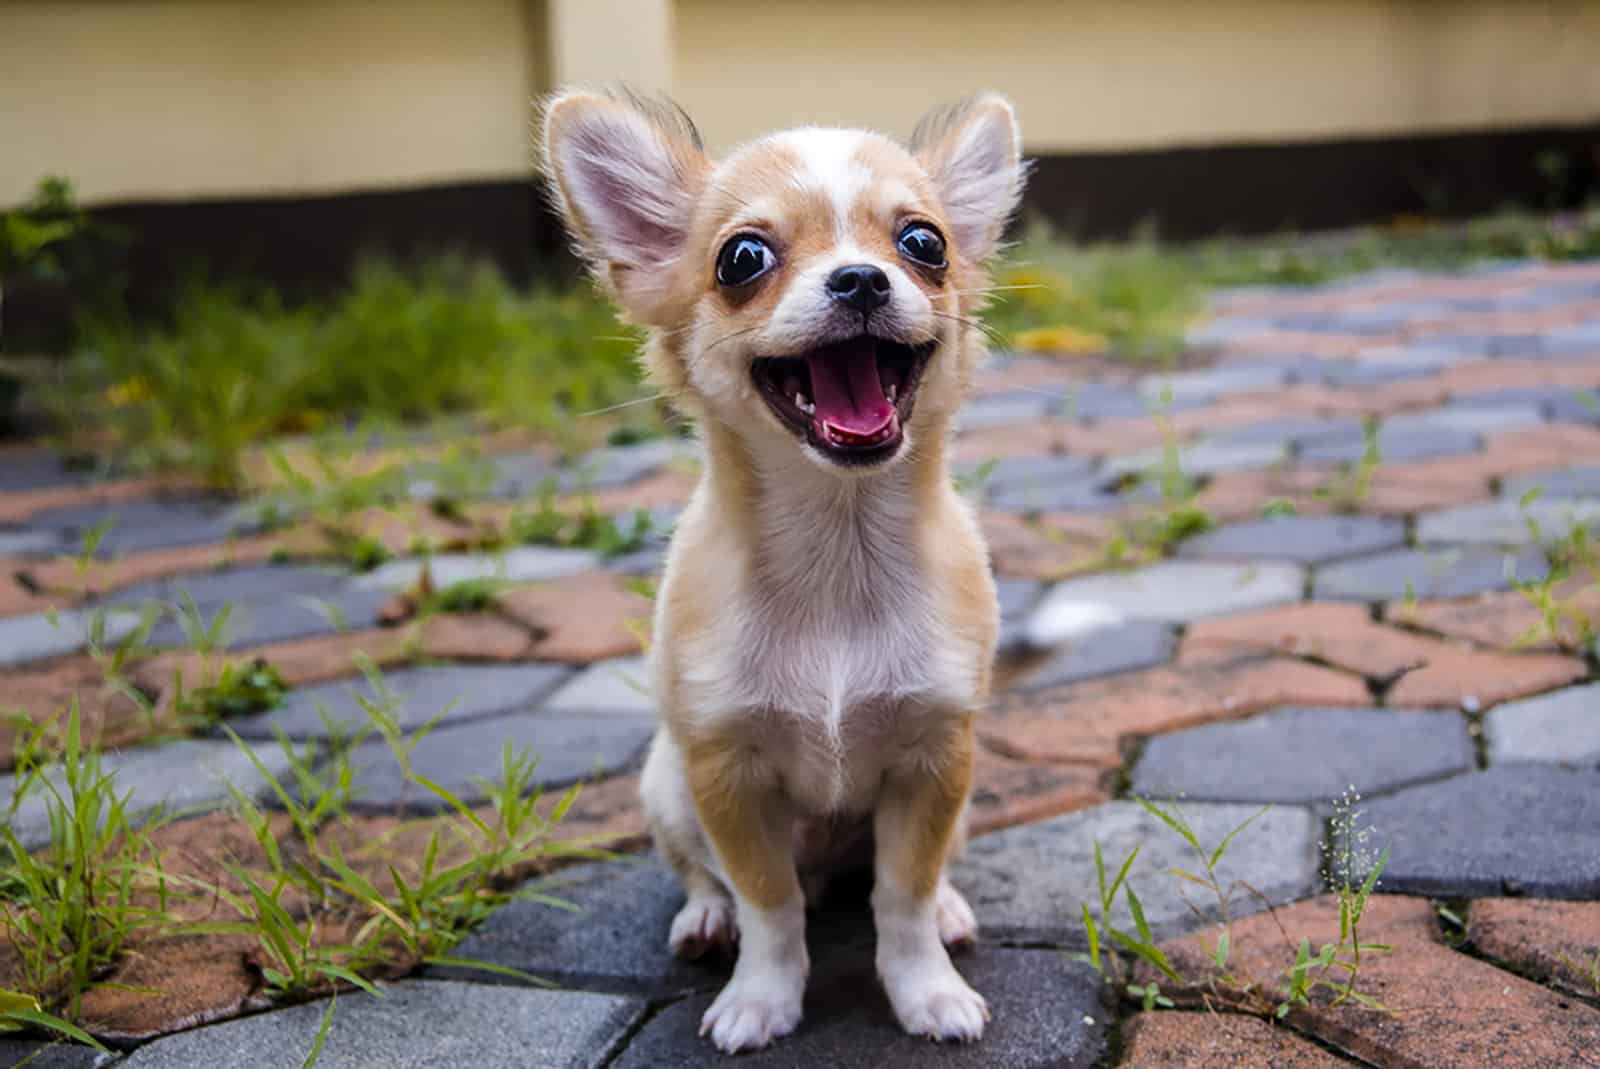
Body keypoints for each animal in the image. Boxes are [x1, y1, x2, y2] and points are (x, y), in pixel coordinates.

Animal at [540, 89, 1024, 1049]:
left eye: (925, 244)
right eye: (743, 259)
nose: (862, 280)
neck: (839, 547)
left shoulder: (935, 759)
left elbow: (902, 895)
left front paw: (927, 989)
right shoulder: (726, 773)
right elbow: (769, 901)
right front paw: (761, 998)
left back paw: (951, 908)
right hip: (667, 785)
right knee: (710, 876)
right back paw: (704, 919)